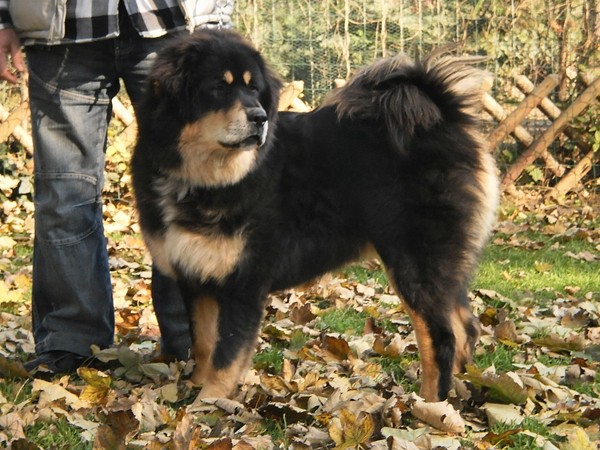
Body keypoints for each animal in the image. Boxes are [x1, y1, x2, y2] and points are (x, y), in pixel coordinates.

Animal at [131, 29, 499, 401]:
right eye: (219, 87)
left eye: (254, 89)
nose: (260, 117)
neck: (203, 178)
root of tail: (443, 117)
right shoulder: (197, 278)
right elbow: (205, 344)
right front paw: (195, 388)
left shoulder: (244, 283)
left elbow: (227, 353)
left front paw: (210, 401)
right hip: (446, 268)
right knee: (466, 327)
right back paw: (456, 396)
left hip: (415, 262)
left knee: (441, 336)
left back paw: (429, 404)